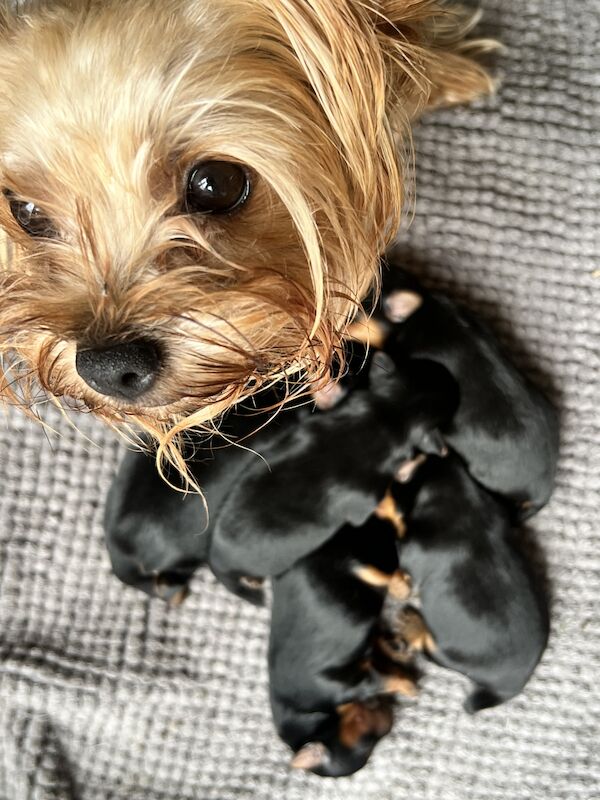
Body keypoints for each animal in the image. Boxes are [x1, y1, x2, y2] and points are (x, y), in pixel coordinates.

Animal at [270, 520, 414, 776]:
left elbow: (386, 679)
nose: (391, 719)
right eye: (369, 744)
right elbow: (382, 657)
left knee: (374, 569)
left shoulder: (351, 682)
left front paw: (411, 687)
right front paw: (395, 650)